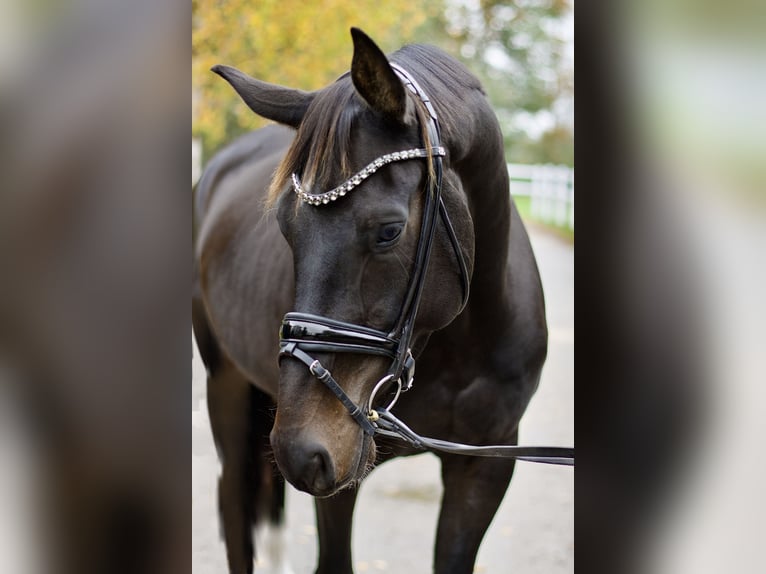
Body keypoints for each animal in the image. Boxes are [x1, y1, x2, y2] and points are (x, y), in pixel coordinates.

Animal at [195, 28, 548, 574]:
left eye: (389, 231)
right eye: (285, 227)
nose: (301, 449)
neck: (456, 347)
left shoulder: (484, 465)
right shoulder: (340, 471)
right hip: (228, 388)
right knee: (236, 512)